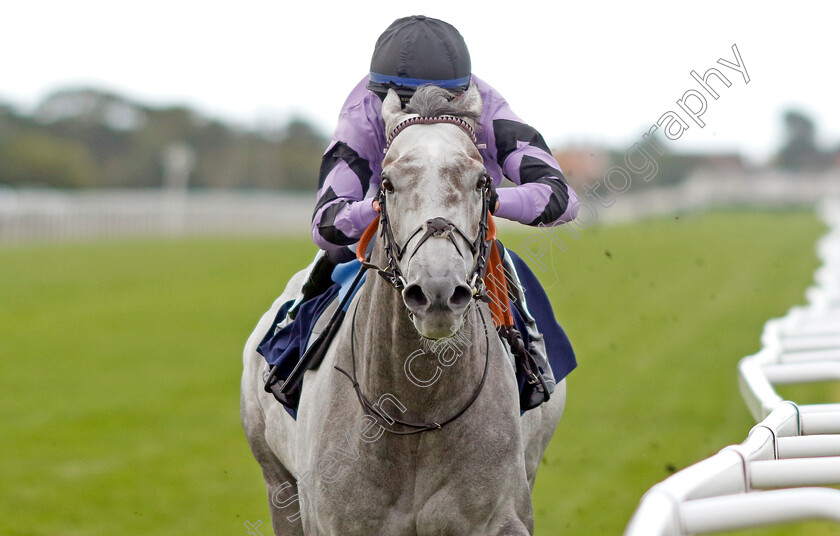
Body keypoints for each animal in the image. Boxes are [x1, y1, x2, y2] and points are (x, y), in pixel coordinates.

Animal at [241, 86, 564, 532]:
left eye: (482, 181)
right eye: (388, 183)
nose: (437, 291)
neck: (416, 409)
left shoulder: (502, 518)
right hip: (277, 483)